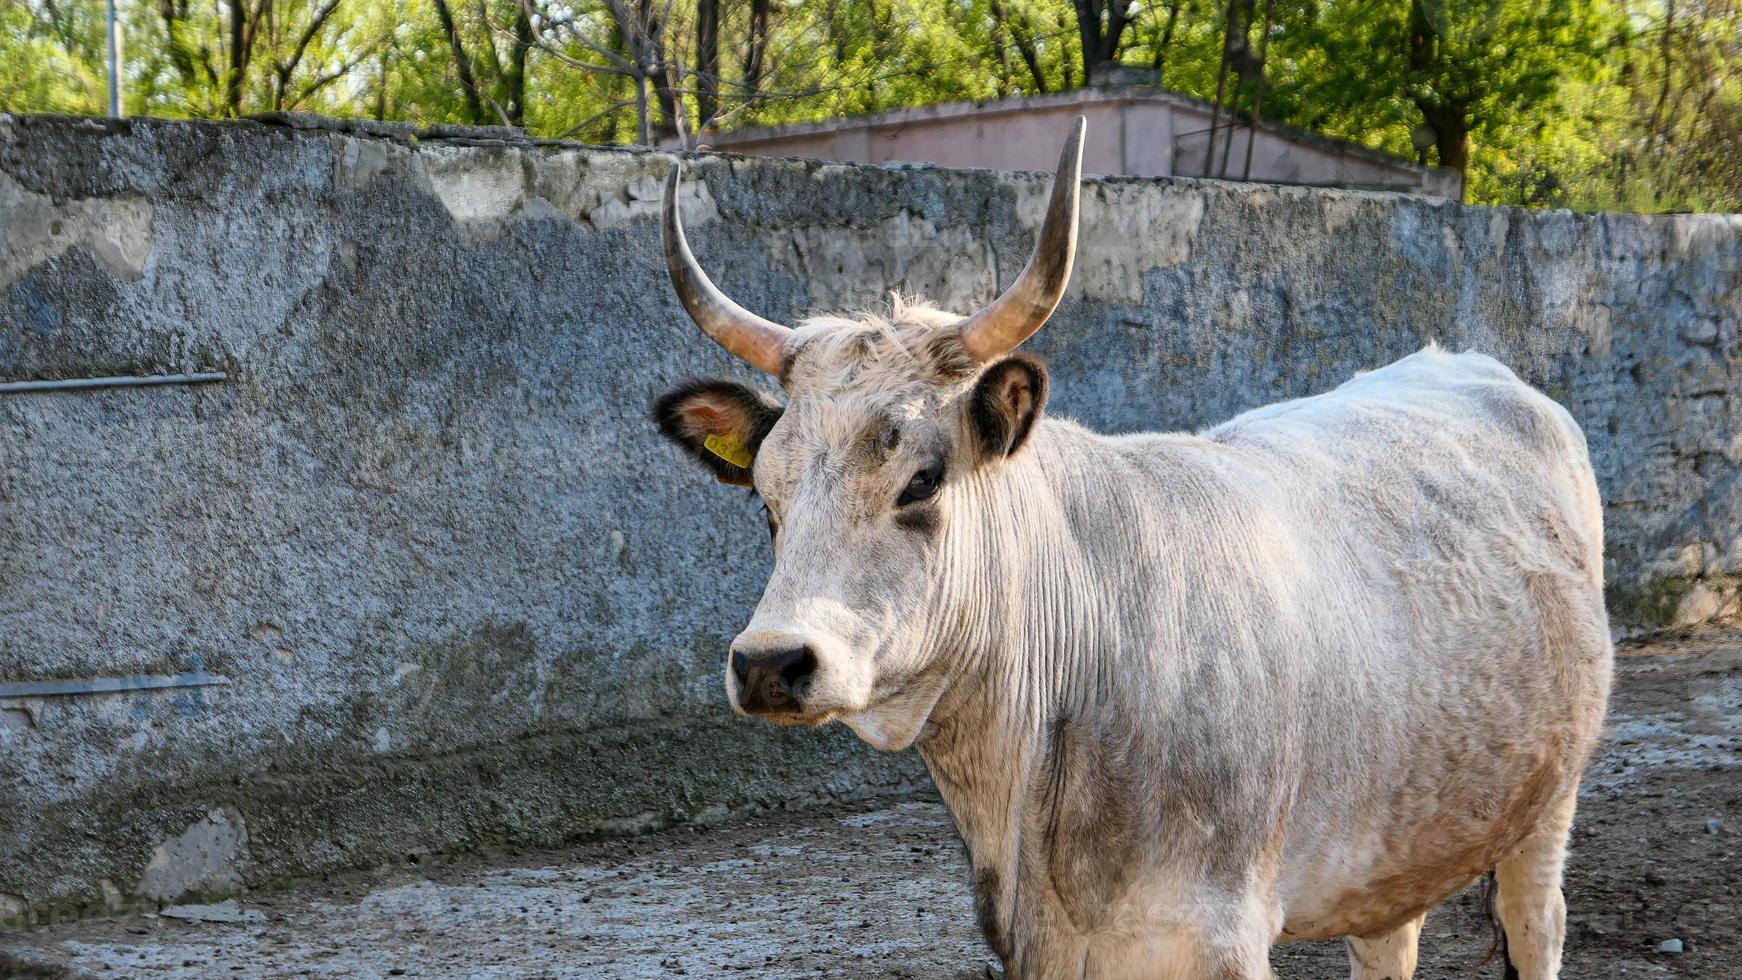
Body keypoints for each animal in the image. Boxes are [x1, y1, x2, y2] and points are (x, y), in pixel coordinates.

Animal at [654, 122, 1616, 980]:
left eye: (922, 479)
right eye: (767, 500)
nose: (770, 662)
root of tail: (1474, 370)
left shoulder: (1215, 936)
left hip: (1548, 803)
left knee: (1537, 923)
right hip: (1401, 835)